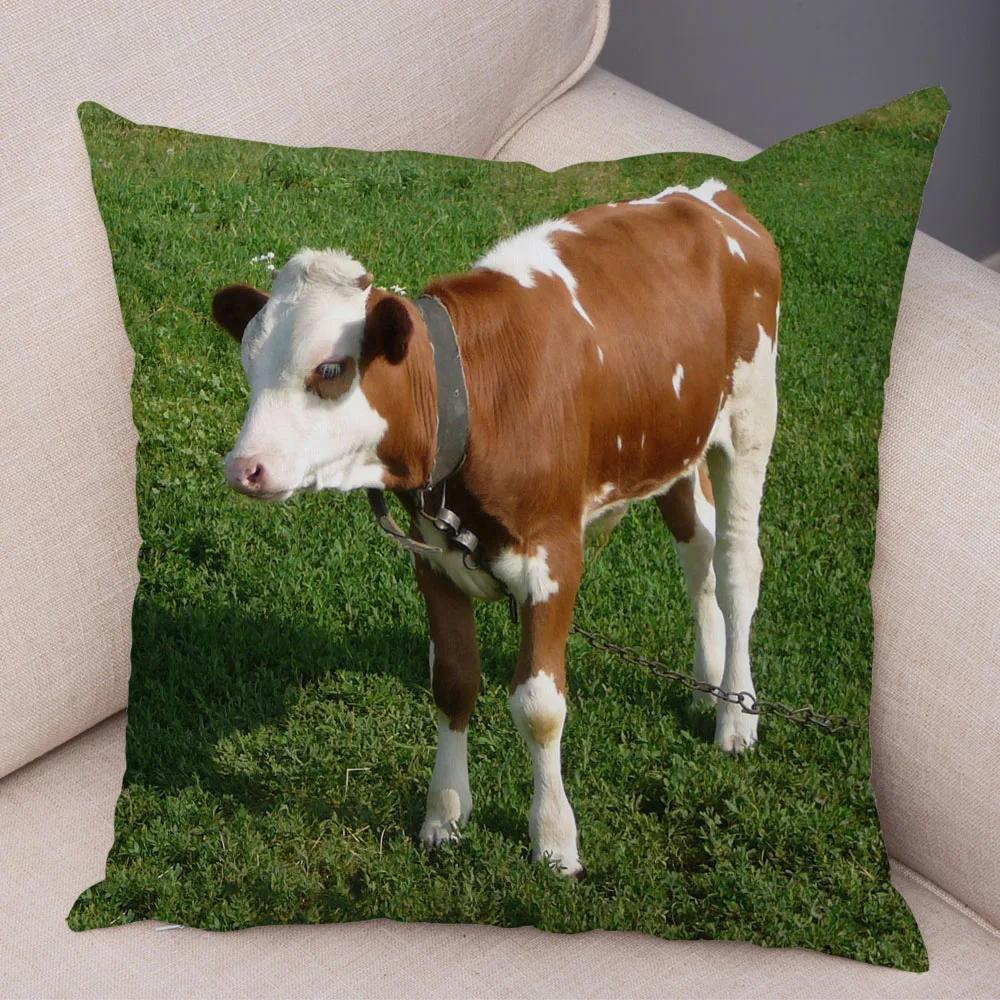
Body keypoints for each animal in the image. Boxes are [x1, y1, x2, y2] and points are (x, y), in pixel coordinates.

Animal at [212, 178, 781, 876]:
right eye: (249, 367)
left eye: (330, 370)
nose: (245, 468)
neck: (474, 404)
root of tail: (707, 194)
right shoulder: (432, 558)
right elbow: (453, 682)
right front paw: (445, 815)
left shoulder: (554, 558)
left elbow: (539, 707)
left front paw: (554, 839)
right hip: (674, 442)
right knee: (696, 550)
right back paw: (705, 686)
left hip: (750, 420)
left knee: (735, 567)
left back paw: (735, 716)